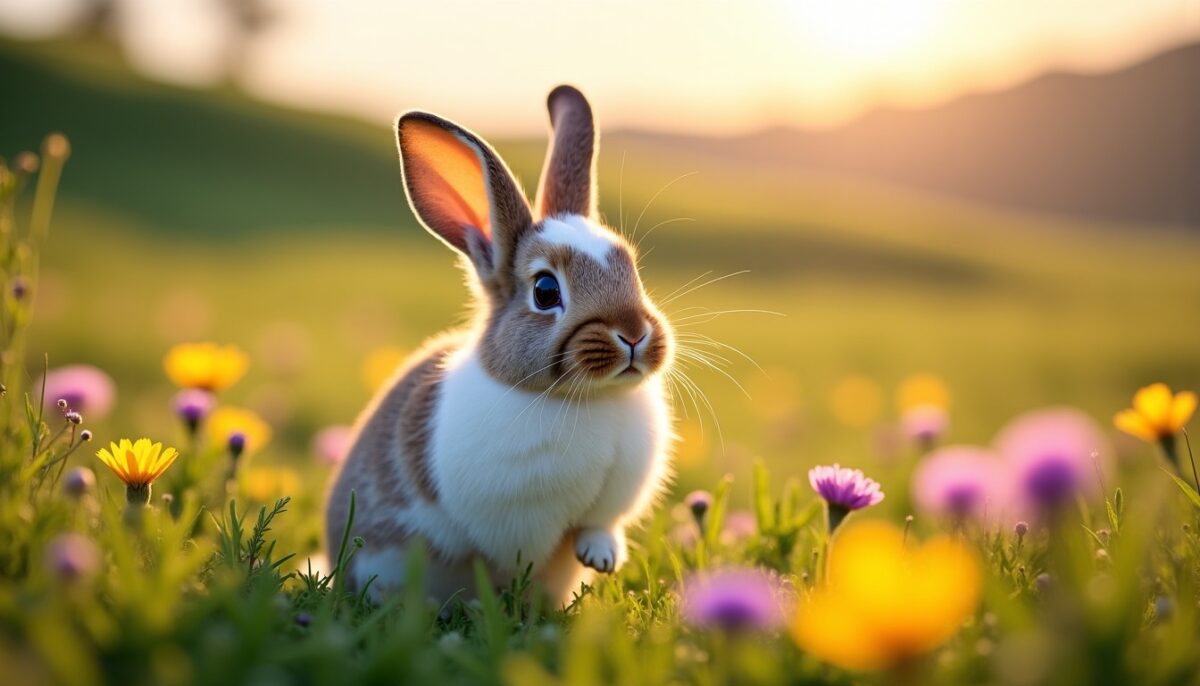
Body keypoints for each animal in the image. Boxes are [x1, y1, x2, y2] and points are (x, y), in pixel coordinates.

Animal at [325, 85, 675, 606]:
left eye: (631, 268)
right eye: (546, 291)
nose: (633, 333)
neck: (590, 400)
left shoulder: (610, 504)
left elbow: (599, 526)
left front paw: (600, 559)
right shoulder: (517, 520)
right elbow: (516, 557)